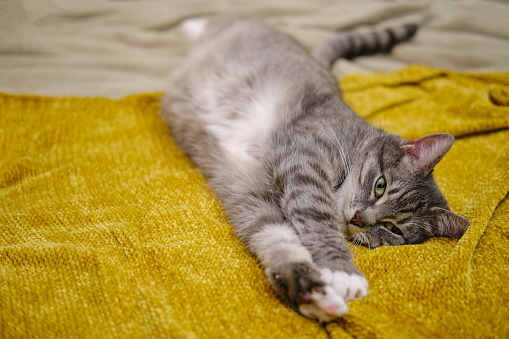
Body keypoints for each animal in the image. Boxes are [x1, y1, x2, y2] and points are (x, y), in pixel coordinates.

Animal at [162, 18, 468, 324]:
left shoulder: (250, 192)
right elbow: (319, 220)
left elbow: (279, 240)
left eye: (393, 229)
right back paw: (194, 25)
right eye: (380, 185)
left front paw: (313, 294)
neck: (354, 139)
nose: (358, 219)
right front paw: (343, 272)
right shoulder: (303, 161)